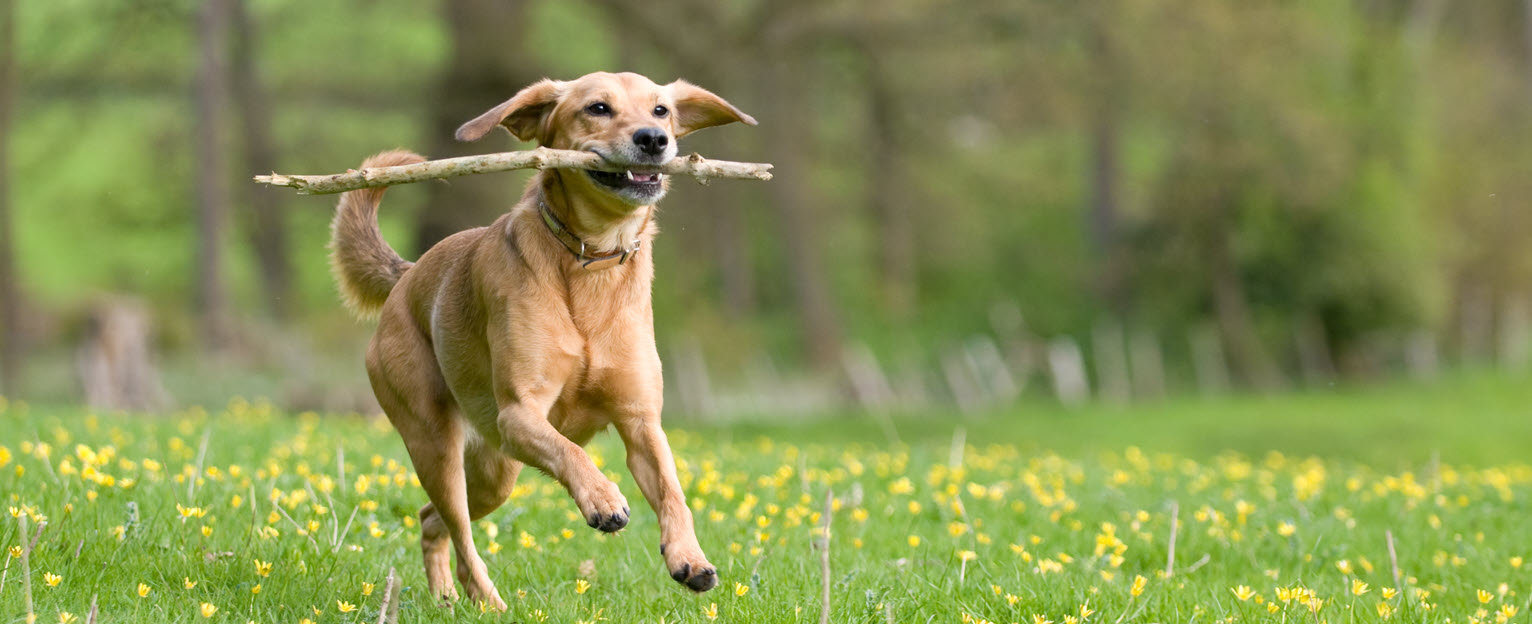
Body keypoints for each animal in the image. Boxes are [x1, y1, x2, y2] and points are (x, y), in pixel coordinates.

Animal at [329, 70, 753, 607]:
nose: (654, 140)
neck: (592, 260)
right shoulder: (519, 415)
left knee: (431, 520)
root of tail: (407, 276)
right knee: (459, 528)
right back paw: (488, 602)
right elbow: (571, 451)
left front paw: (689, 558)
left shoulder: (641, 421)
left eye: (661, 110)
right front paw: (603, 497)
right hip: (436, 443)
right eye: (597, 108)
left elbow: (674, 492)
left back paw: (447, 596)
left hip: (495, 472)